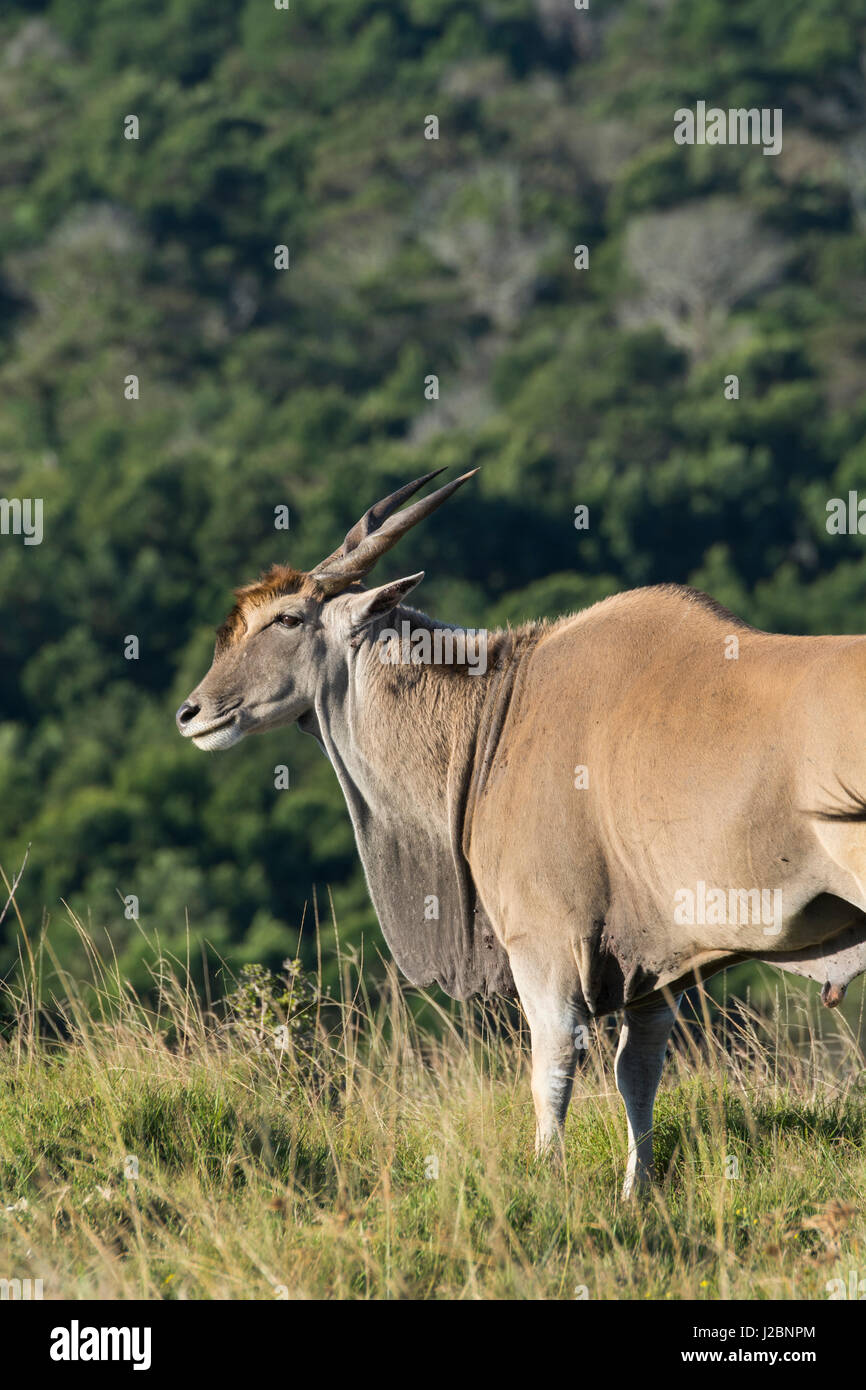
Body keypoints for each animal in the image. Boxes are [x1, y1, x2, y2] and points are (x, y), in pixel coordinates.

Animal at [177, 470, 866, 1196]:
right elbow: (638, 1073)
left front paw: (547, 1185)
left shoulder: (545, 946)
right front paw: (635, 1193)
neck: (498, 712)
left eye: (286, 619)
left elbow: (554, 1068)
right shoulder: (655, 973)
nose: (191, 713)